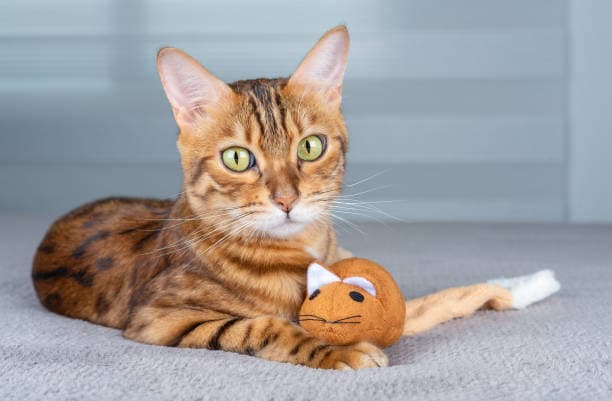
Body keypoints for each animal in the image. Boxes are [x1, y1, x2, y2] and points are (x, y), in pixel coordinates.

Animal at [31, 25, 388, 368]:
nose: (287, 200)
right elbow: (266, 326)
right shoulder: (160, 318)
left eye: (310, 147)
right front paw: (338, 350)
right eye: (237, 158)